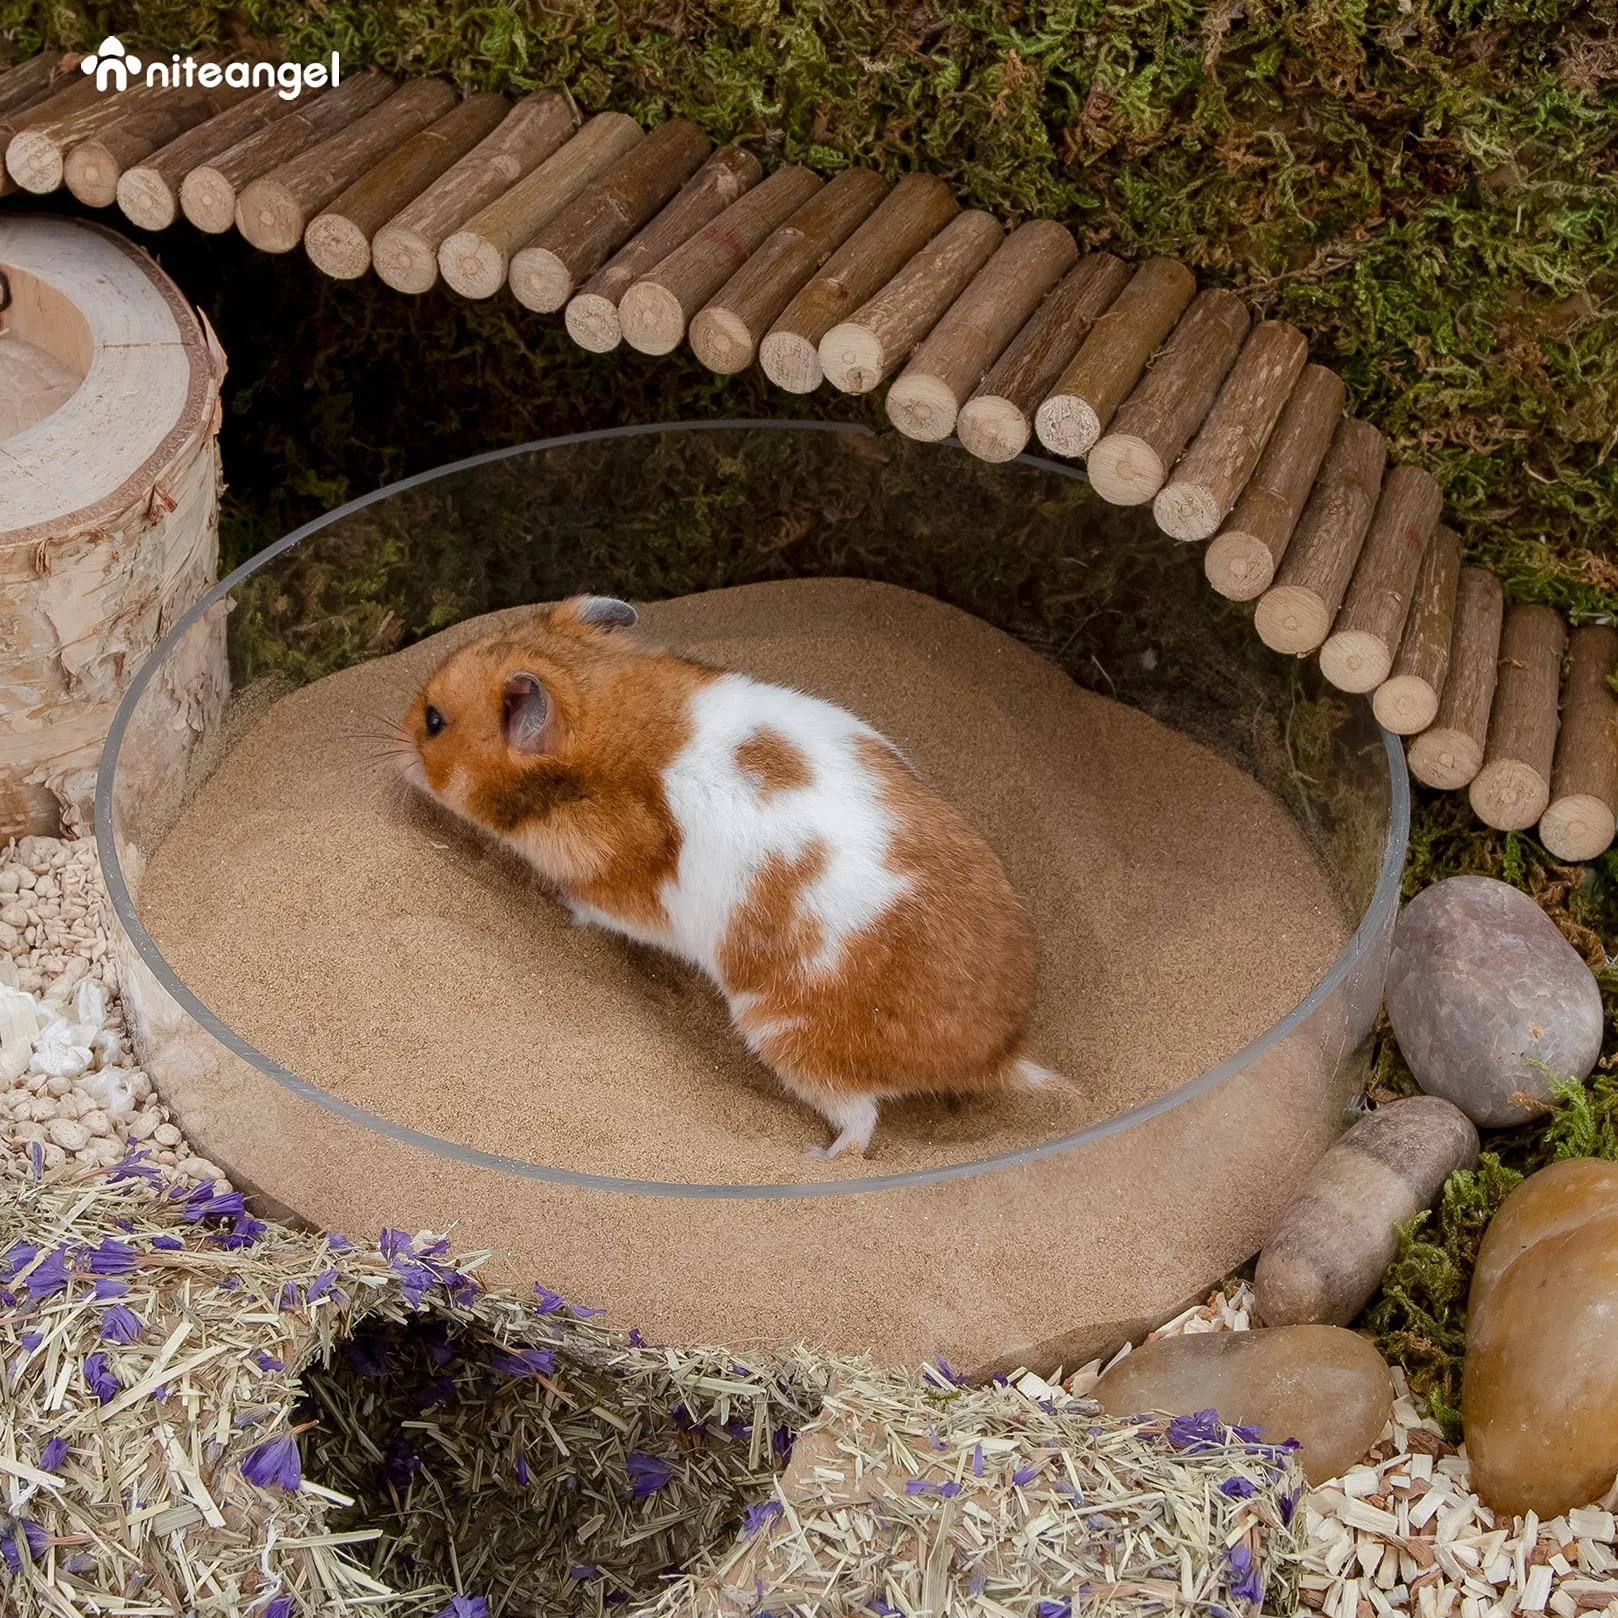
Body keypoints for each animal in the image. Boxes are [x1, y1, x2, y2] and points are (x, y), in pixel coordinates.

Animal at [400, 594, 1050, 1158]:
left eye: (433, 721)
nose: (394, 746)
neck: (603, 712)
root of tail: (998, 1053)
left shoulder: (619, 896)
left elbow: (589, 906)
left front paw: (557, 902)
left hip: (789, 1040)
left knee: (862, 1124)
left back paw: (819, 1156)